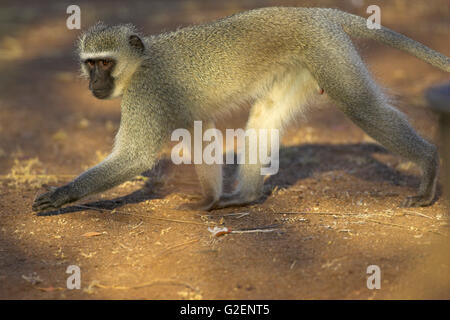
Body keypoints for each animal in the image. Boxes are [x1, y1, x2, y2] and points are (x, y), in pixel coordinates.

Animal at [29, 6, 448, 212]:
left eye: (104, 63)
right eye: (89, 64)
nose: (93, 84)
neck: (141, 63)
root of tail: (310, 12)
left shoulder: (146, 94)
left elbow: (135, 157)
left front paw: (63, 194)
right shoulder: (182, 107)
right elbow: (202, 135)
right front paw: (210, 200)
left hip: (326, 49)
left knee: (359, 105)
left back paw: (429, 164)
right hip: (300, 64)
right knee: (265, 116)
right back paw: (244, 197)